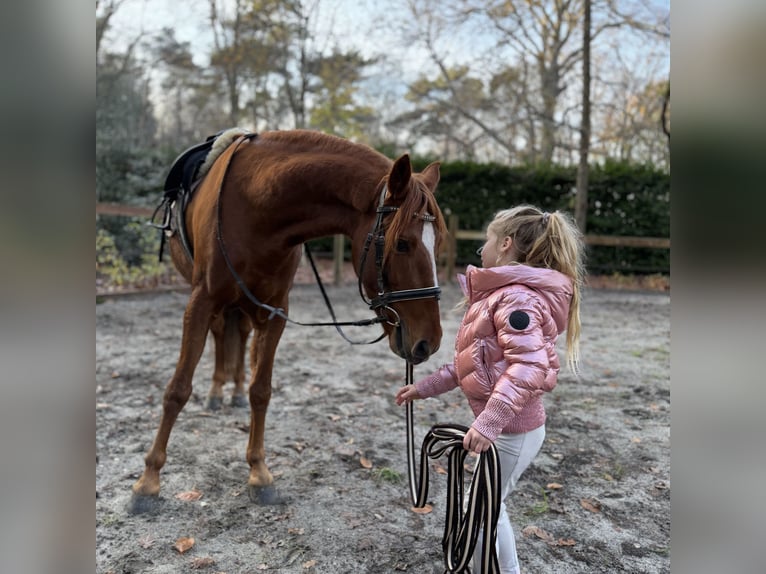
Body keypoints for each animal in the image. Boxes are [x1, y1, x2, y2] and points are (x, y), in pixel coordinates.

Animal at [131, 128, 446, 511]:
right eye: (402, 244)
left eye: (438, 244)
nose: (429, 341)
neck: (257, 209)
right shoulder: (200, 302)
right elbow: (177, 390)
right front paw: (148, 481)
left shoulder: (275, 312)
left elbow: (261, 390)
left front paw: (259, 472)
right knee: (222, 335)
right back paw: (217, 391)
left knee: (239, 339)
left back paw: (232, 390)